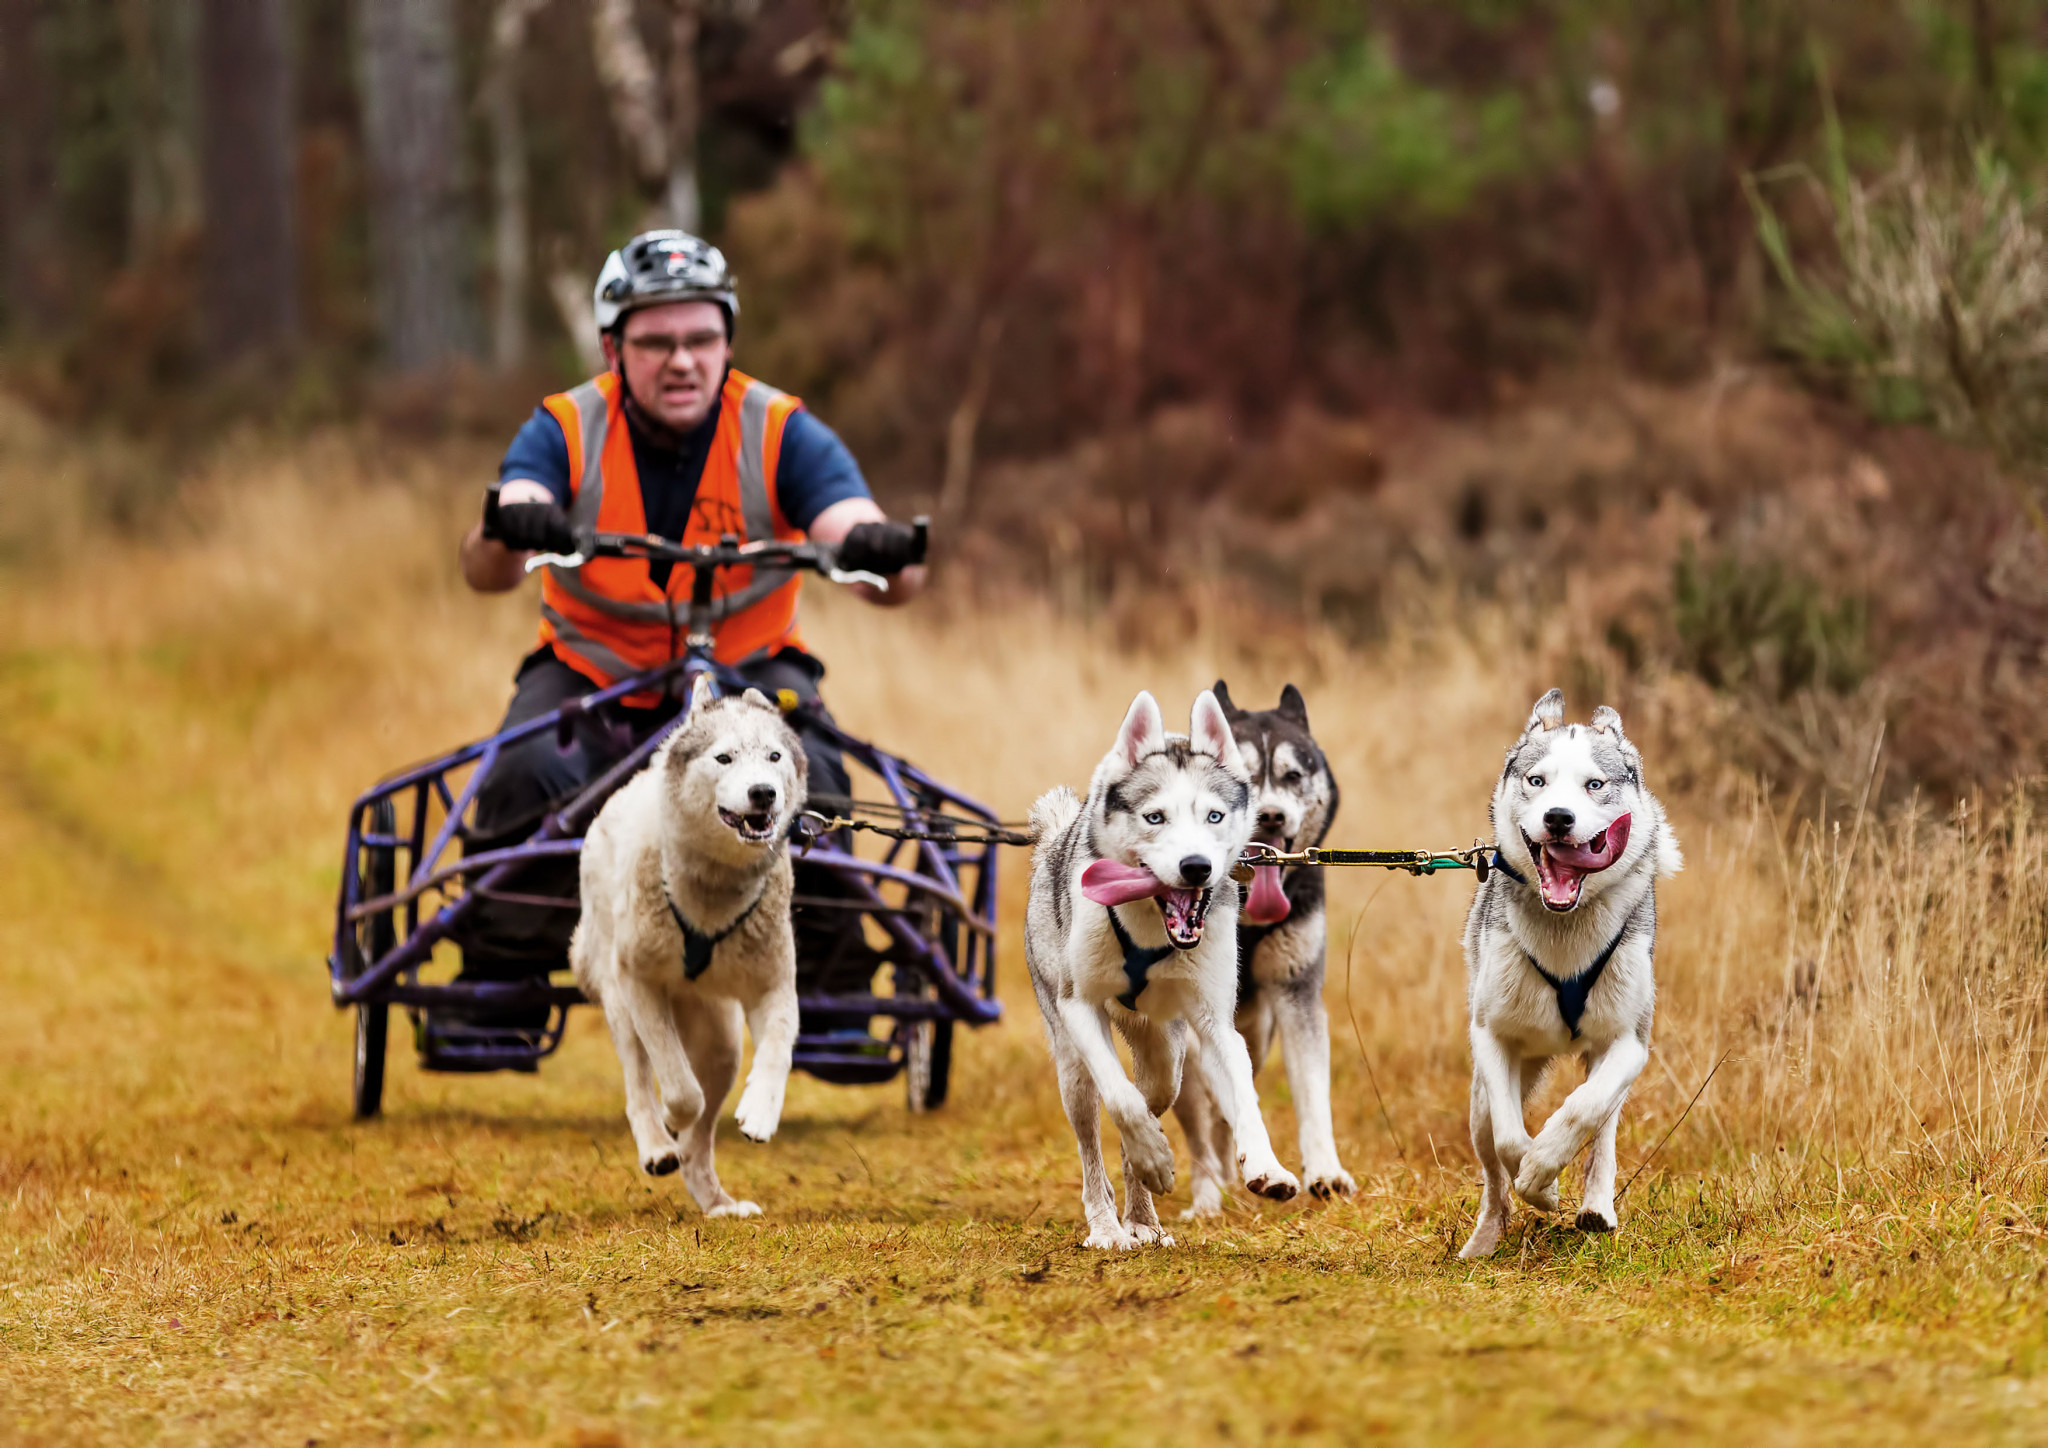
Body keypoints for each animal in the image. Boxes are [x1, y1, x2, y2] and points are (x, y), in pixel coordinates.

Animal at [571, 673, 807, 1219]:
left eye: (773, 756)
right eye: (723, 758)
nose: (762, 793)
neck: (713, 891)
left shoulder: (773, 985)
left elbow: (778, 1049)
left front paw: (760, 1111)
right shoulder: (640, 984)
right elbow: (679, 1087)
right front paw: (671, 1121)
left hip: (722, 1044)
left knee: (702, 1140)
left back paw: (718, 1203)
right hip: (619, 1003)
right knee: (640, 1081)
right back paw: (659, 1145)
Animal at [1025, 689, 1299, 1250]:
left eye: (1214, 816)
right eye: (1155, 818)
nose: (1197, 867)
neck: (1152, 931)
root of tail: (1057, 835)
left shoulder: (1217, 1025)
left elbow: (1243, 1093)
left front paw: (1266, 1167)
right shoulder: (1080, 1007)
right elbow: (1119, 1099)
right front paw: (1152, 1159)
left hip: (1168, 1059)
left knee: (1150, 1099)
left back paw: (1142, 1217)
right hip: (1071, 1068)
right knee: (1096, 1133)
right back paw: (1108, 1224)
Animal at [1172, 682, 1356, 1216]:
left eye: (1293, 776)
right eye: (1246, 776)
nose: (1272, 814)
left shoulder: (1297, 994)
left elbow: (1312, 1094)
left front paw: (1325, 1173)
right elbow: (1226, 1096)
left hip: (1259, 1029)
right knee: (1200, 1132)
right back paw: (1208, 1196)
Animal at [1459, 689, 1682, 1258]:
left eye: (1594, 785)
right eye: (1537, 781)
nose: (1558, 818)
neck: (1566, 928)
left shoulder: (1630, 1041)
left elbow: (1580, 1112)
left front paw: (1545, 1172)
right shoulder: (1491, 1036)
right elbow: (1509, 1139)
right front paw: (1539, 1184)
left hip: (1612, 1069)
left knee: (1599, 1127)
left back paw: (1596, 1208)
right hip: (1479, 1101)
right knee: (1492, 1168)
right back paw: (1485, 1237)